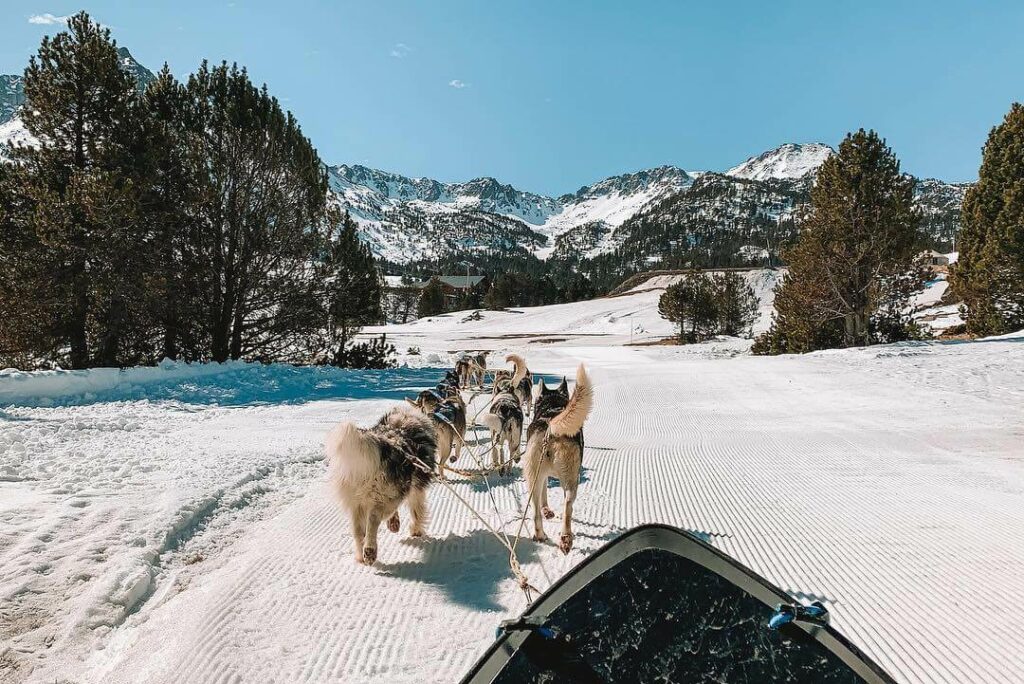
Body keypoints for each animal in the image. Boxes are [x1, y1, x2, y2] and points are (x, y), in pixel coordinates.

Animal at [327, 403, 436, 565]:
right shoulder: (416, 490)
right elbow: (417, 512)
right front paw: (415, 531)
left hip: (356, 500)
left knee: (358, 530)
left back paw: (362, 555)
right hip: (386, 496)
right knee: (374, 518)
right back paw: (370, 550)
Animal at [524, 366, 598, 552]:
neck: (552, 407)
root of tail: (551, 429)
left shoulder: (541, 476)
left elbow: (543, 499)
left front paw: (547, 511)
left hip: (533, 480)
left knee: (535, 512)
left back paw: (541, 535)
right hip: (572, 480)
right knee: (567, 507)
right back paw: (566, 537)